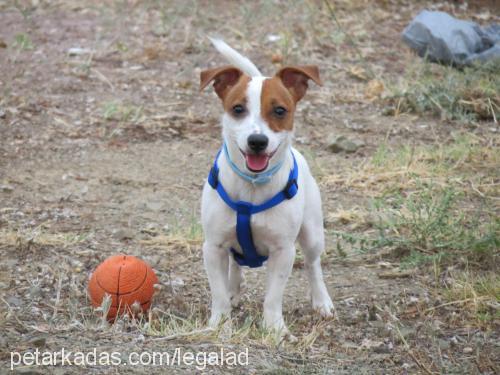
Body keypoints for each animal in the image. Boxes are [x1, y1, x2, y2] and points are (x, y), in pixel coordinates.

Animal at [198, 36, 332, 334]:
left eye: (280, 110)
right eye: (238, 109)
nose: (257, 141)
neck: (252, 185)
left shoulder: (283, 251)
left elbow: (273, 296)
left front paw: (274, 328)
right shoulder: (213, 247)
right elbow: (217, 292)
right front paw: (220, 323)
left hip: (312, 233)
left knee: (313, 264)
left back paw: (321, 301)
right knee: (235, 264)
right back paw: (234, 289)